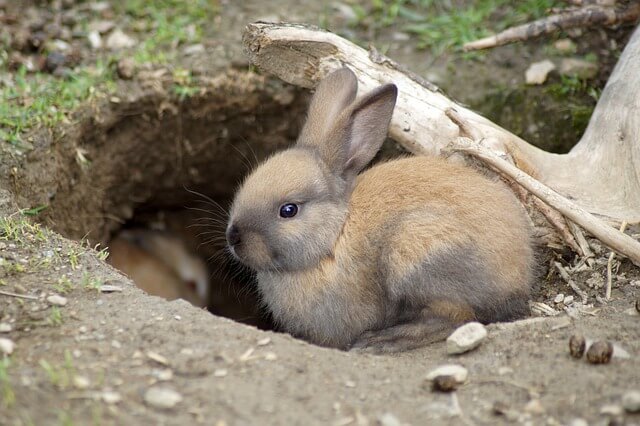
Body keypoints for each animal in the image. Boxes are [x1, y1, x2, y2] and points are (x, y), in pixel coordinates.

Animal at [226, 67, 533, 353]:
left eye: (288, 210)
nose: (234, 237)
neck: (333, 238)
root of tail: (520, 274)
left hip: (416, 250)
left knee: (457, 317)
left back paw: (383, 340)